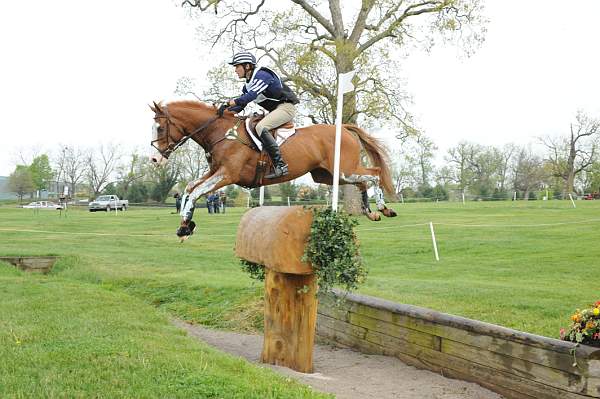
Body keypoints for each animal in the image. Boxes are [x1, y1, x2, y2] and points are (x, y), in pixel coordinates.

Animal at [148, 101, 396, 239]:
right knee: (362, 182)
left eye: (159, 128)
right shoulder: (215, 172)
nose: (154, 159)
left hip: (343, 170)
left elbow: (196, 192)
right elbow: (190, 188)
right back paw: (371, 212)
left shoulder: (227, 175)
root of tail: (343, 128)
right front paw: (186, 224)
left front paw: (184, 227)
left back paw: (384, 209)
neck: (221, 133)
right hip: (329, 176)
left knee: (374, 173)